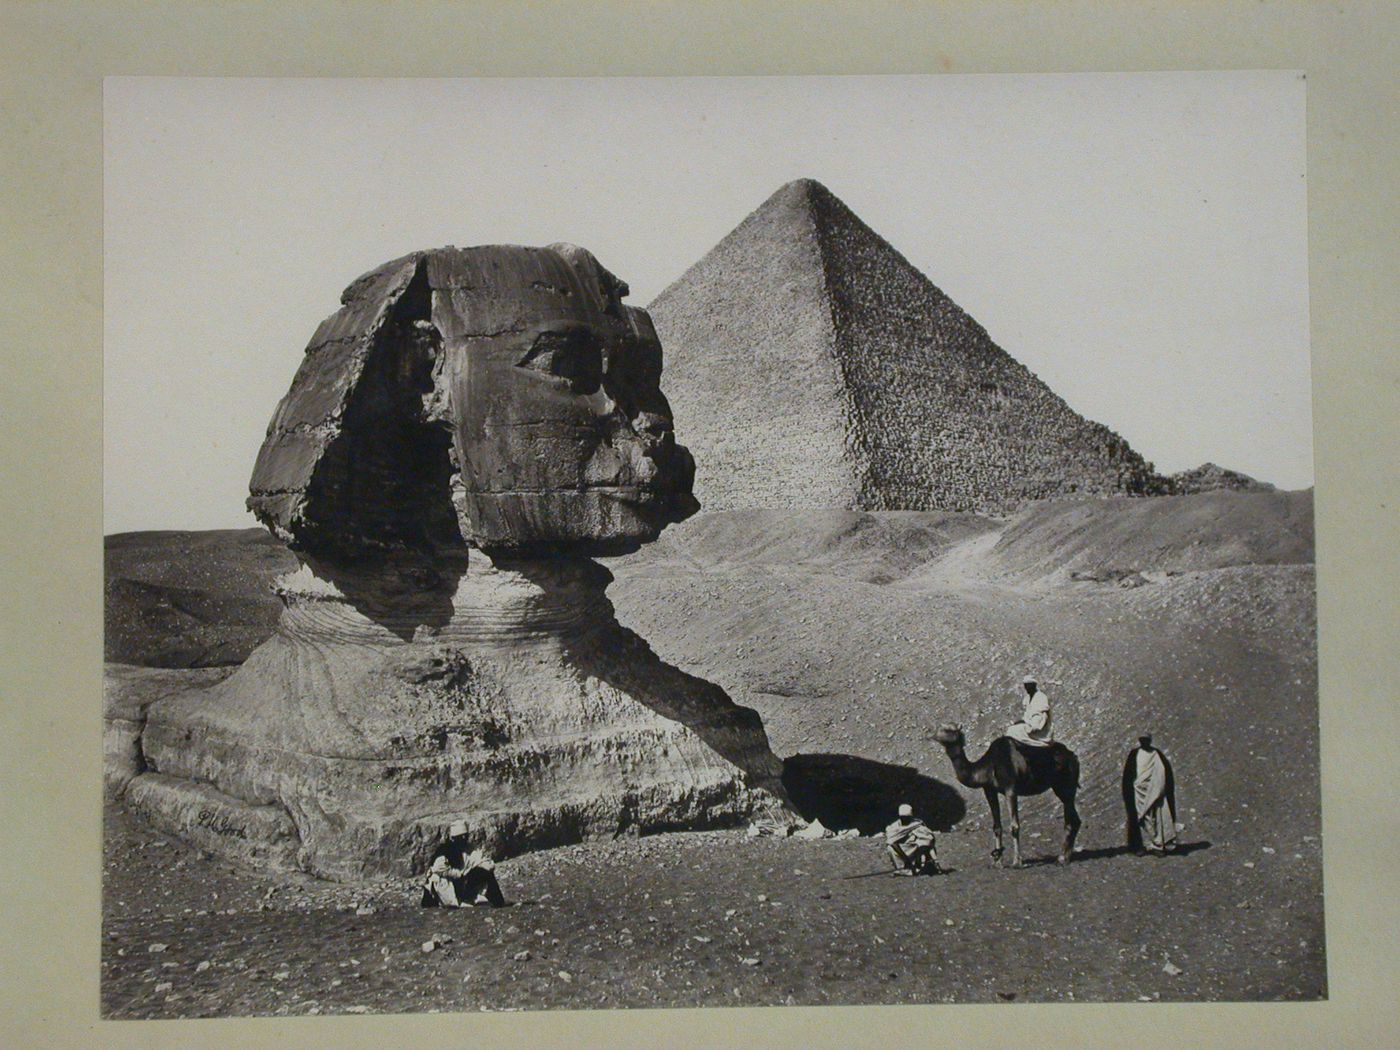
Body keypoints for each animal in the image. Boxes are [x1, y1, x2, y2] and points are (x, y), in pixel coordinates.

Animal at [940, 728, 1080, 868]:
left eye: (948, 730)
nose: (935, 735)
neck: (989, 765)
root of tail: (1073, 756)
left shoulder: (1010, 789)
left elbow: (1014, 826)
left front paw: (1017, 861)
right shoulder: (989, 790)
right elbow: (997, 826)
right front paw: (997, 862)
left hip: (1066, 786)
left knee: (1070, 820)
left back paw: (1062, 859)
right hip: (1061, 787)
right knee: (1075, 820)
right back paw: (1065, 857)